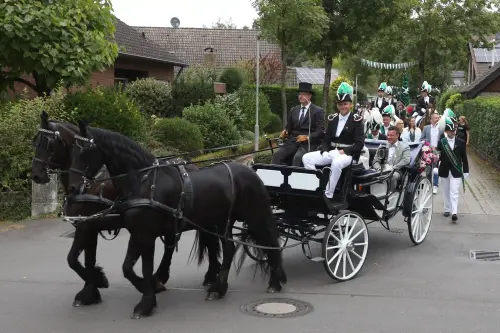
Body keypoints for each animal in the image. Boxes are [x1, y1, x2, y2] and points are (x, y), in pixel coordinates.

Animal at [31, 112, 219, 308]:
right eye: (35, 141)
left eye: (50, 145)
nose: (36, 175)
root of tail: (191, 165)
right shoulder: (88, 226)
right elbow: (83, 259)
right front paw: (91, 289)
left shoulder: (87, 226)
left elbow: (74, 260)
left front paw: (97, 282)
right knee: (176, 243)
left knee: (208, 240)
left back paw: (208, 275)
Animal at [66, 122, 286, 320]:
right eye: (71, 151)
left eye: (84, 152)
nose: (73, 189)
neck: (144, 181)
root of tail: (249, 170)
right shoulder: (137, 232)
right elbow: (130, 267)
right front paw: (147, 291)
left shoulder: (144, 234)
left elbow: (139, 268)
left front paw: (146, 299)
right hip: (223, 221)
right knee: (230, 249)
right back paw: (218, 287)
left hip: (254, 216)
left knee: (269, 244)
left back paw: (274, 282)